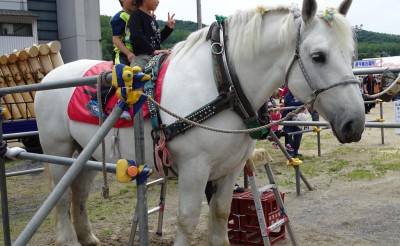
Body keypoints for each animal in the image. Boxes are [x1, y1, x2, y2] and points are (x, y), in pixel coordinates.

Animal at [35, 0, 366, 245]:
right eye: (318, 56)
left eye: (351, 54)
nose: (355, 124)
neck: (222, 83)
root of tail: (52, 75)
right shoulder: (194, 169)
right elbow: (187, 219)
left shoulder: (231, 168)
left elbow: (219, 214)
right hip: (58, 149)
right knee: (61, 197)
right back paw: (69, 239)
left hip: (86, 150)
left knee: (79, 193)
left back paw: (87, 236)